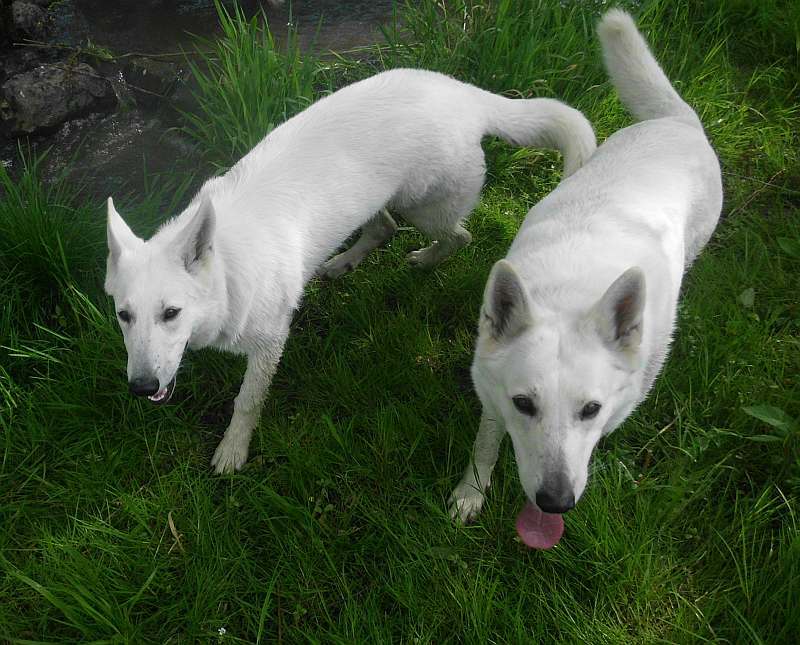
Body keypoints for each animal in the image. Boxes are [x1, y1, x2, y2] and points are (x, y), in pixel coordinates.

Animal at [104, 69, 592, 472]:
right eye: (124, 316)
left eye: (171, 313)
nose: (141, 388)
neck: (227, 267)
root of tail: (464, 94)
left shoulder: (269, 345)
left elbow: (247, 401)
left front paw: (232, 450)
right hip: (378, 202)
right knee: (385, 228)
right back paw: (341, 263)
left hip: (424, 209)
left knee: (458, 237)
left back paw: (424, 259)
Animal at [450, 8, 724, 548]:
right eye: (524, 404)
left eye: (591, 410)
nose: (556, 502)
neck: (566, 295)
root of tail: (677, 122)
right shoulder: (489, 389)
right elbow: (486, 440)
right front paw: (471, 492)